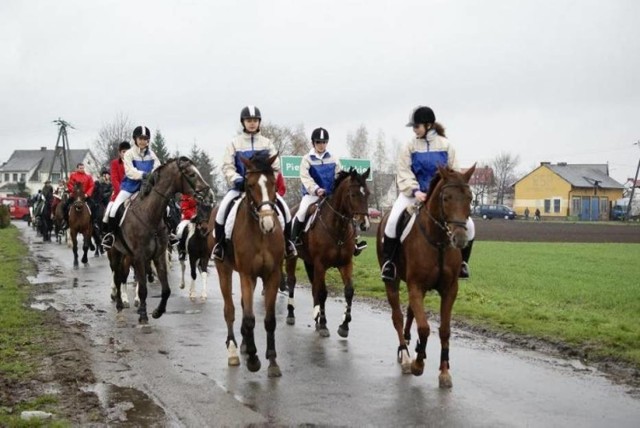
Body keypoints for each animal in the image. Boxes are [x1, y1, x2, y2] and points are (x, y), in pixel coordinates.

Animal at [108, 158, 212, 324]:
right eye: (191, 174)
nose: (209, 194)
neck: (149, 215)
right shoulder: (139, 257)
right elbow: (143, 288)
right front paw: (143, 315)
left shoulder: (158, 255)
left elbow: (166, 289)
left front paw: (158, 311)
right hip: (116, 253)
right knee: (117, 277)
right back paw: (119, 304)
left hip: (128, 255)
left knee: (121, 276)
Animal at [212, 151, 284, 378]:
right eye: (250, 185)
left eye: (272, 183)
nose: (268, 224)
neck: (261, 235)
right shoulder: (245, 274)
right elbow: (250, 318)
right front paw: (253, 359)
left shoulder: (272, 275)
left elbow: (269, 319)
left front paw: (272, 361)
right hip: (224, 270)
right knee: (230, 310)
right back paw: (234, 350)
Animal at [284, 167, 370, 338]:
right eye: (353, 194)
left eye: (368, 193)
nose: (364, 224)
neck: (338, 229)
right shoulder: (321, 264)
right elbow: (323, 292)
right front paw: (324, 324)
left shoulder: (345, 263)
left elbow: (349, 291)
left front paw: (344, 325)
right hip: (294, 258)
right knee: (292, 282)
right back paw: (291, 314)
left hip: (310, 262)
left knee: (314, 287)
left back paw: (316, 317)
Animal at [376, 164, 476, 388]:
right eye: (446, 197)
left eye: (470, 197)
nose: (460, 238)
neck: (438, 242)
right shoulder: (416, 286)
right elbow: (424, 328)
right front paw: (418, 364)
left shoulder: (450, 290)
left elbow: (444, 330)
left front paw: (444, 372)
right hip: (392, 282)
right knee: (398, 316)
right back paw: (405, 356)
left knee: (411, 312)